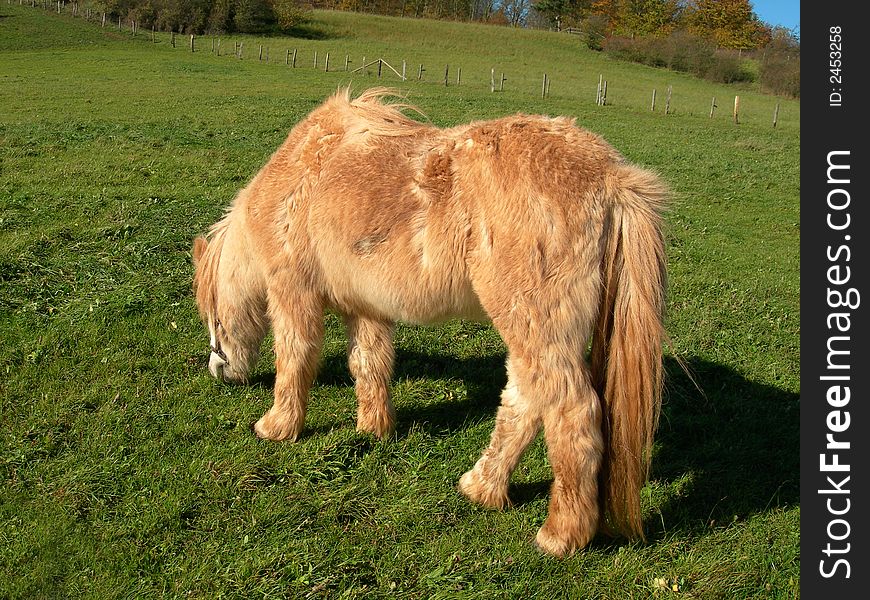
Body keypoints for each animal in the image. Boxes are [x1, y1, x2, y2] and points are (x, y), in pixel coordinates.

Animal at [192, 86, 668, 556]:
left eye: (213, 317)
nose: (219, 370)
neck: (304, 172)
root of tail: (611, 177)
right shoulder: (365, 309)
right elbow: (369, 363)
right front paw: (374, 429)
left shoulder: (294, 295)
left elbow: (295, 360)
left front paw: (276, 427)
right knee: (524, 400)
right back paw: (481, 487)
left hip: (536, 326)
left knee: (571, 411)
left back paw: (560, 534)